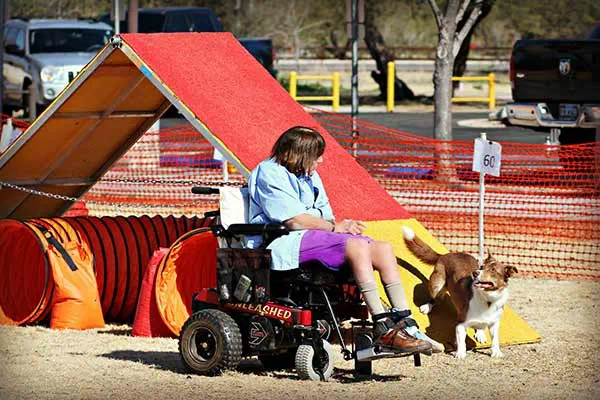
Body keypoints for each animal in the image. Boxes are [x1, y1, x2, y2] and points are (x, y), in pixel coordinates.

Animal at [404, 225, 516, 360]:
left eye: (493, 270)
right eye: (482, 267)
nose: (475, 273)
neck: (488, 299)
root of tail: (446, 254)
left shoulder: (494, 324)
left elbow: (495, 339)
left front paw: (496, 352)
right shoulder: (461, 324)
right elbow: (461, 340)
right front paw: (460, 353)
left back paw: (480, 333)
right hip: (437, 284)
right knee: (435, 298)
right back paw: (427, 306)